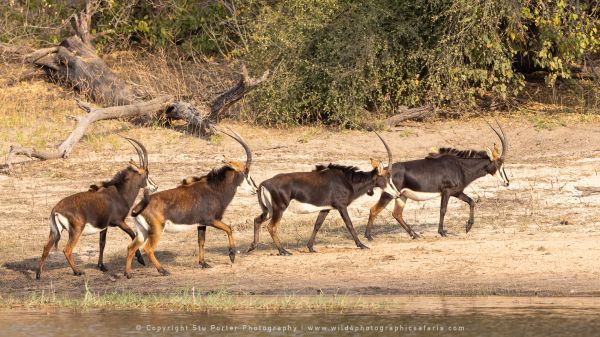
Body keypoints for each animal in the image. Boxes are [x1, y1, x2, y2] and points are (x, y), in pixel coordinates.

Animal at [34, 137, 157, 278]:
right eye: (147, 174)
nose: (155, 186)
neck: (119, 193)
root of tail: (56, 209)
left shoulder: (104, 226)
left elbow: (102, 243)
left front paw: (102, 266)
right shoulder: (119, 221)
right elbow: (133, 234)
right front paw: (141, 260)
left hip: (55, 231)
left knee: (46, 247)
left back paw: (38, 274)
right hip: (76, 230)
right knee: (67, 250)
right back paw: (77, 271)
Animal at [123, 127, 256, 276]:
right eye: (246, 173)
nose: (256, 189)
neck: (214, 189)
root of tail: (139, 206)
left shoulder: (201, 224)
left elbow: (201, 242)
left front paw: (203, 263)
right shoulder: (211, 220)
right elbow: (229, 228)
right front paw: (232, 255)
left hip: (142, 232)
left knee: (131, 247)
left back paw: (128, 274)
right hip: (156, 230)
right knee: (148, 248)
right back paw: (163, 271)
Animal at [248, 133, 398, 253]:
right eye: (387, 177)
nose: (396, 194)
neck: (347, 180)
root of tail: (264, 184)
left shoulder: (325, 208)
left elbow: (317, 225)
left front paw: (310, 247)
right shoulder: (341, 206)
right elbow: (349, 225)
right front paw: (362, 245)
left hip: (269, 210)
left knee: (257, 220)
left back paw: (253, 246)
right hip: (279, 209)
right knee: (271, 226)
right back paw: (283, 251)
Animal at [364, 121, 508, 239]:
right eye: (499, 164)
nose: (507, 182)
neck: (460, 166)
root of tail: (383, 170)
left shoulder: (457, 192)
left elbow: (472, 202)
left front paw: (468, 227)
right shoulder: (446, 191)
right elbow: (443, 210)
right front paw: (442, 232)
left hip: (401, 196)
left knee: (397, 214)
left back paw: (414, 234)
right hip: (388, 194)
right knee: (374, 210)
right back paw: (368, 236)